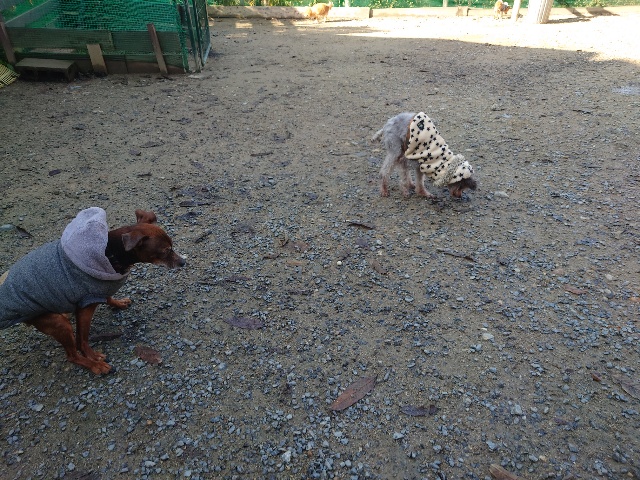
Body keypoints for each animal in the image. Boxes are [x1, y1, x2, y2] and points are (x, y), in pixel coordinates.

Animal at [0, 207, 185, 374]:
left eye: (172, 247)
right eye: (165, 251)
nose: (183, 262)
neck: (109, 252)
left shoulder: (100, 289)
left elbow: (108, 297)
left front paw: (118, 303)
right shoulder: (85, 307)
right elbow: (82, 339)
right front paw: (93, 357)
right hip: (58, 324)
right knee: (72, 355)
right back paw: (94, 366)